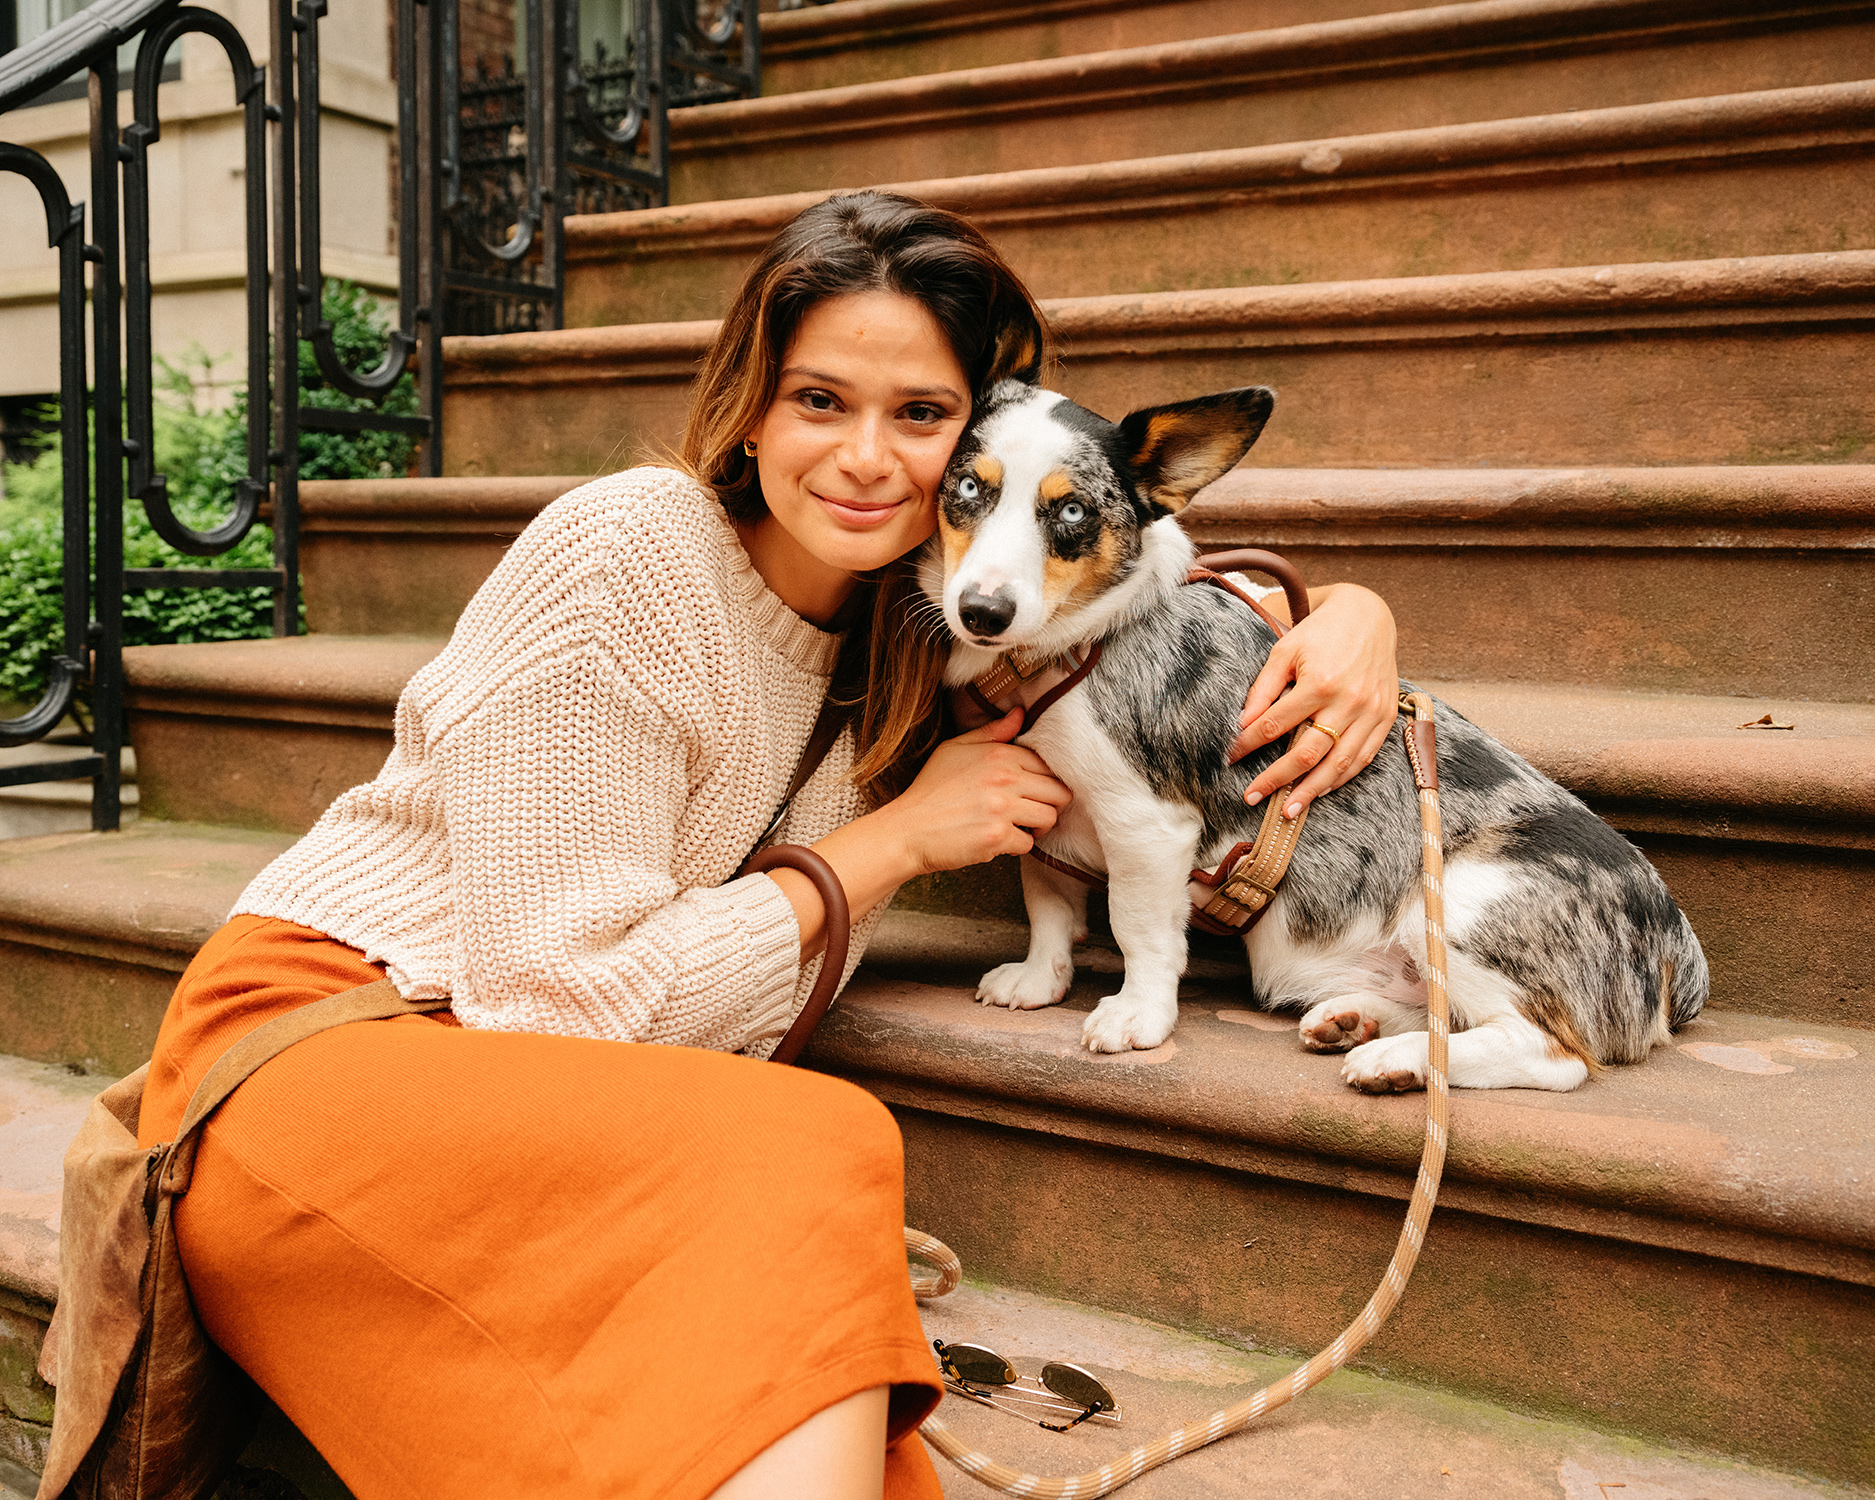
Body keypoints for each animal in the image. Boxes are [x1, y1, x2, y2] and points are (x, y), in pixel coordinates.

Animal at [915, 380, 1710, 1095]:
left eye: (1072, 510)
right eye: (966, 487)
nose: (982, 611)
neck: (1056, 651)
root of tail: (1679, 951)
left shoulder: (1145, 822)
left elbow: (1139, 929)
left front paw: (1135, 1017)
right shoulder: (1041, 806)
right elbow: (1048, 903)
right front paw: (1038, 979)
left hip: (1459, 901)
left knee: (1553, 1054)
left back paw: (1395, 1062)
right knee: (1445, 1014)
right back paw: (1354, 1022)